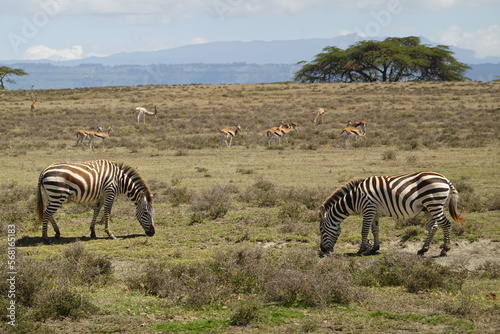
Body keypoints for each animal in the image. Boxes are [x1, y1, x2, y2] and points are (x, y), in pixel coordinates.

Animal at [318, 171, 462, 258]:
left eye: (322, 231)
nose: (323, 251)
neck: (354, 198)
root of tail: (445, 179)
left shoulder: (368, 208)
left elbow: (364, 230)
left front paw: (361, 250)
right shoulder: (375, 212)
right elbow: (375, 230)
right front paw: (374, 248)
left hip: (434, 204)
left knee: (445, 224)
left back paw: (445, 249)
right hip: (428, 208)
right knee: (433, 227)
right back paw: (423, 249)